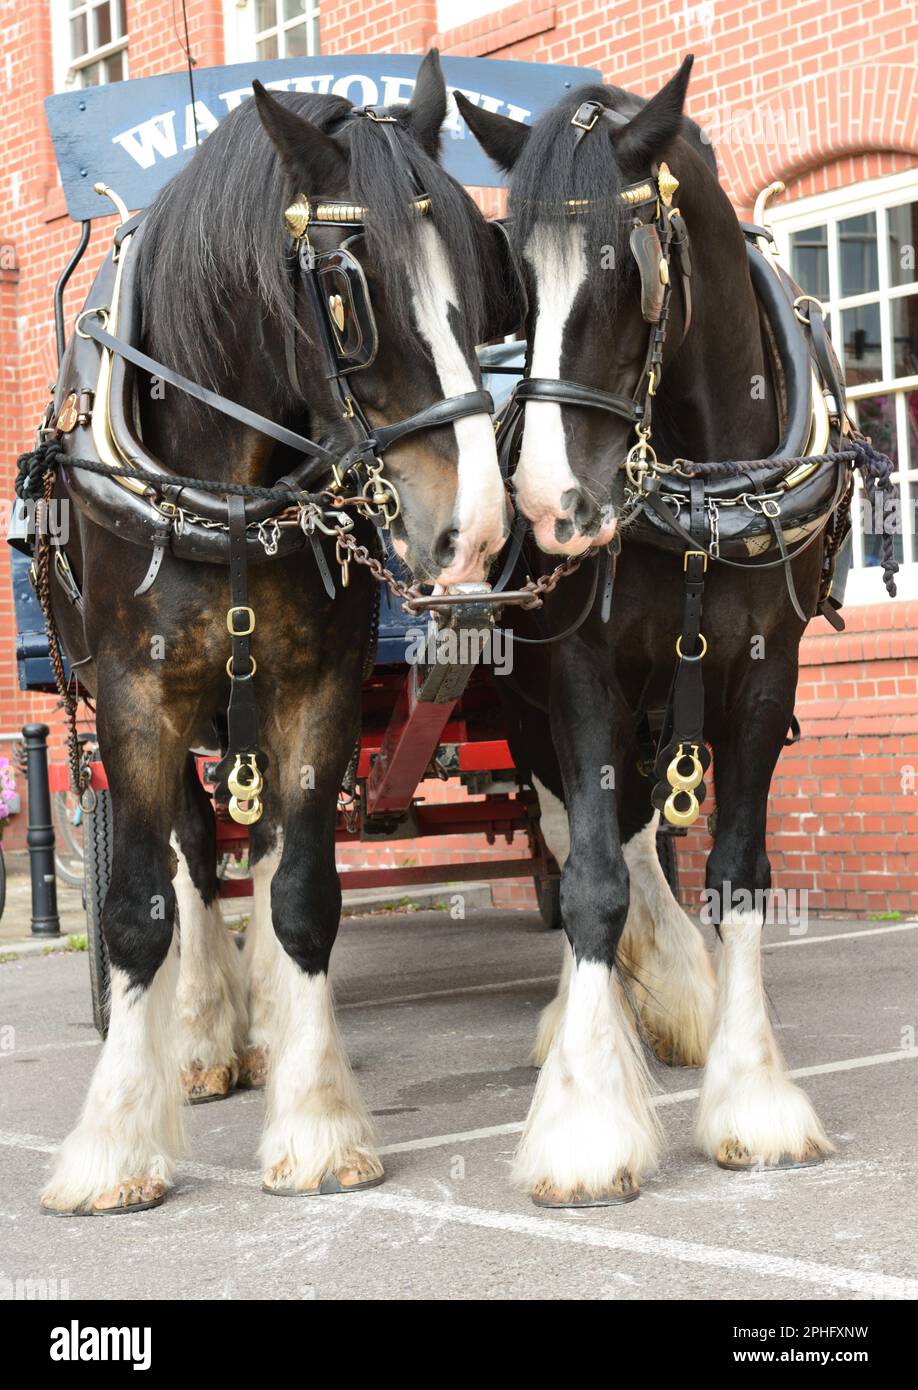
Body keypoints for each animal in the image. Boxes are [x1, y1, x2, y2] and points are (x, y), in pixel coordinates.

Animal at [37, 50, 512, 1214]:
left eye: (486, 281)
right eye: (347, 293)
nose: (475, 529)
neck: (231, 483)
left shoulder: (316, 685)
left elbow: (300, 891)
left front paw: (316, 1121)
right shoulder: (135, 695)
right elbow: (138, 905)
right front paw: (115, 1145)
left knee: (246, 848)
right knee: (190, 849)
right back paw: (204, 1036)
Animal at [458, 57, 844, 1206]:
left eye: (620, 270)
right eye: (514, 284)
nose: (549, 507)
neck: (705, 485)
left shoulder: (764, 678)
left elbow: (737, 870)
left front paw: (752, 1095)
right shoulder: (583, 675)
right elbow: (586, 879)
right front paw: (586, 1118)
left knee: (631, 834)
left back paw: (667, 993)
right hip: (532, 709)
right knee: (573, 838)